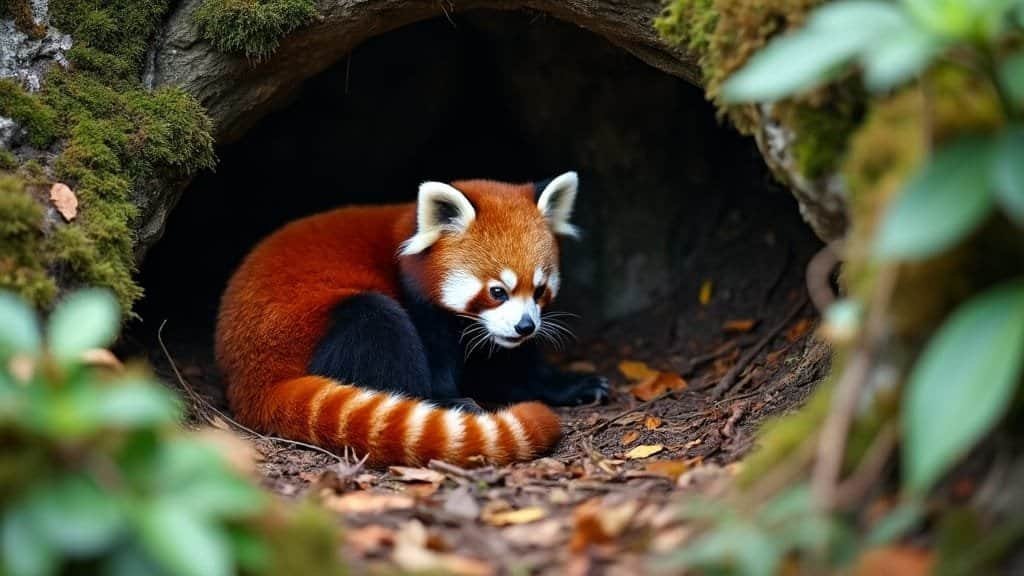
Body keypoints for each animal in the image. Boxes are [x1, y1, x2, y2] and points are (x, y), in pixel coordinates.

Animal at [211, 171, 602, 467]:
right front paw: (447, 396)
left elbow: (509, 368)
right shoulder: (421, 307)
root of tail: (250, 377)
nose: (525, 326)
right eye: (497, 291)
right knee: (376, 321)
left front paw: (572, 385)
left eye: (539, 290)